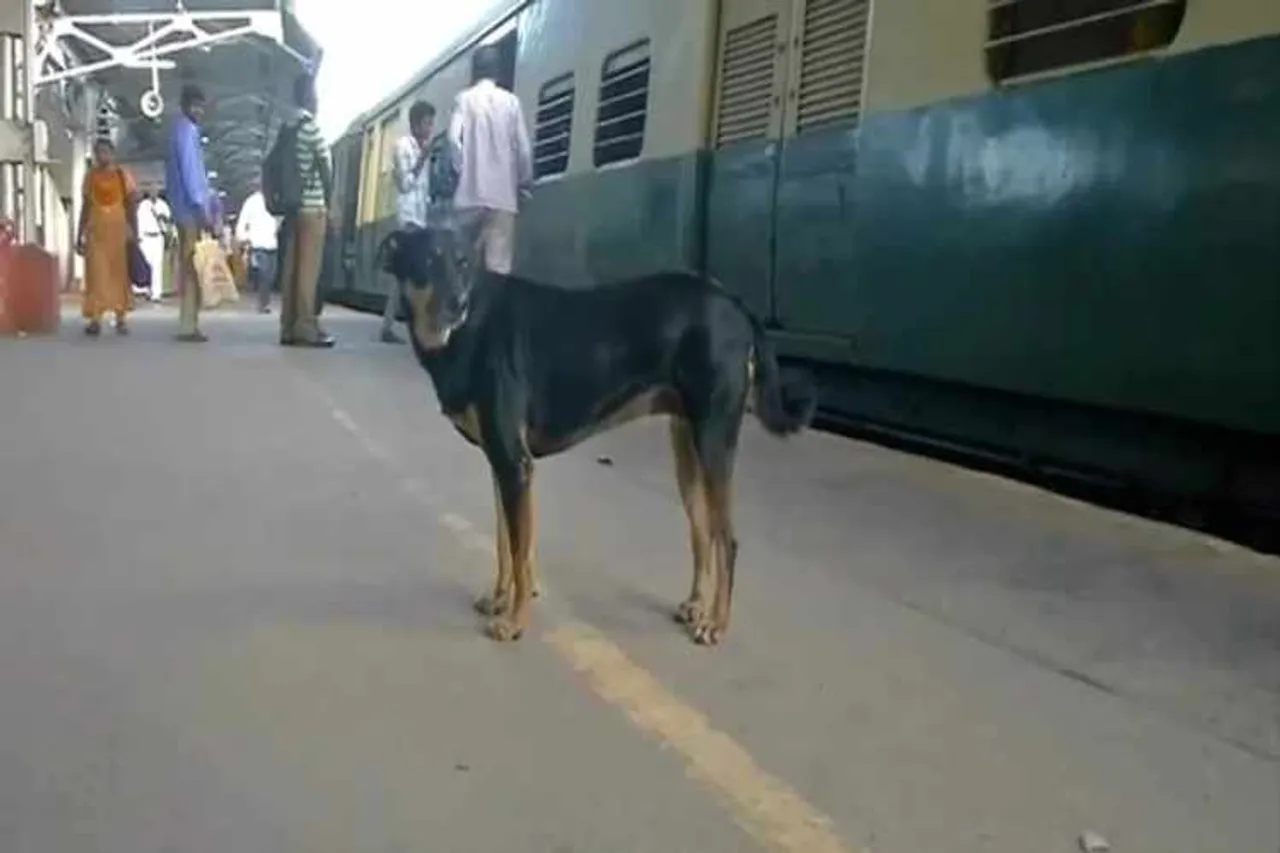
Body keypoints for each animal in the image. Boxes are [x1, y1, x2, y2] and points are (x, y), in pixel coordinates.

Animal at [378, 225, 819, 645]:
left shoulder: (515, 465)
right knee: (702, 531)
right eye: (427, 260)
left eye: (464, 263)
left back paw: (717, 623)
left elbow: (520, 554)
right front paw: (500, 599)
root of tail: (732, 301)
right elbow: (507, 544)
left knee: (727, 539)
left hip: (714, 441)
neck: (468, 330)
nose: (458, 303)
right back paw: (696, 605)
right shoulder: (502, 464)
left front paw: (516, 621)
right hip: (687, 449)